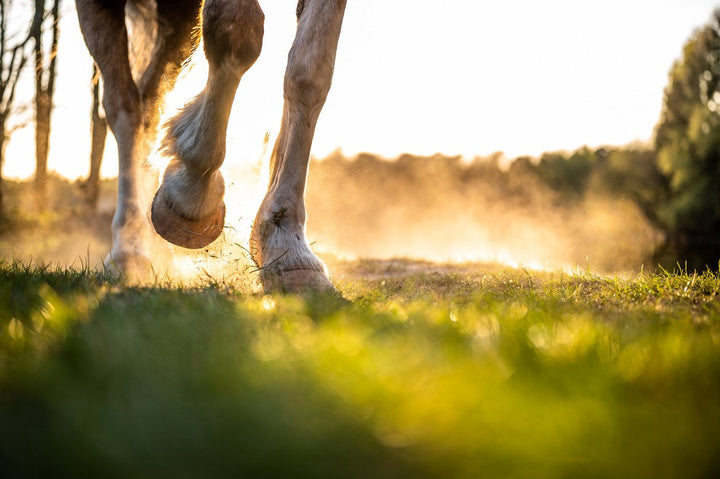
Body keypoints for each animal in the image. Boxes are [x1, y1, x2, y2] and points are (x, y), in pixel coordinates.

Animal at [75, 0, 346, 291]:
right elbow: (235, 28)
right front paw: (191, 189)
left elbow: (310, 71)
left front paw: (286, 245)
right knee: (123, 104)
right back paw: (129, 250)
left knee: (149, 98)